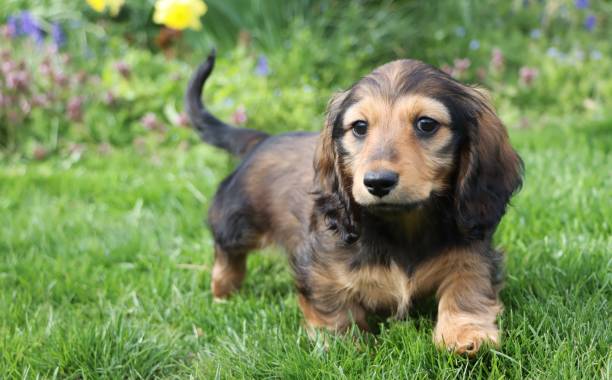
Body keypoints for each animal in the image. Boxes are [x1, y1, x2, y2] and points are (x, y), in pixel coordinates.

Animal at [185, 49, 520, 354]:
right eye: (359, 127)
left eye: (426, 124)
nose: (377, 182)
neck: (402, 226)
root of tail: (262, 139)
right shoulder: (320, 267)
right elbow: (334, 307)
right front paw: (344, 344)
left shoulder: (472, 252)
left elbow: (466, 289)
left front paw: (465, 335)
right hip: (237, 222)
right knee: (226, 253)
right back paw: (224, 292)